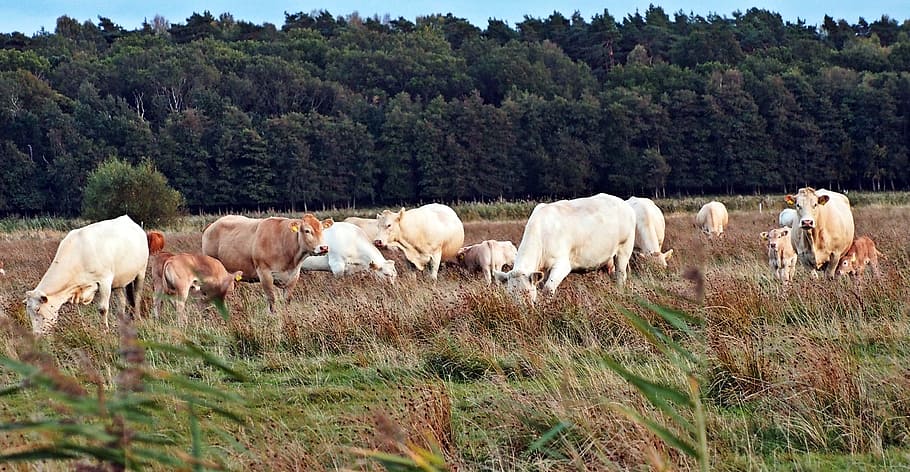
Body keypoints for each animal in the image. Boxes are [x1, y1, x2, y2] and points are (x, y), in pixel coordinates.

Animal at [201, 213, 333, 312]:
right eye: (307, 231)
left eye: (322, 229)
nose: (324, 247)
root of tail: (211, 225)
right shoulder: (265, 273)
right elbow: (272, 299)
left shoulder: (294, 275)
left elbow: (287, 300)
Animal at [494, 193, 636, 304]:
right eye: (510, 295)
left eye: (527, 293)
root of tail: (623, 203)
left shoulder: (562, 264)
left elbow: (547, 290)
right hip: (609, 260)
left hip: (624, 250)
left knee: (621, 277)